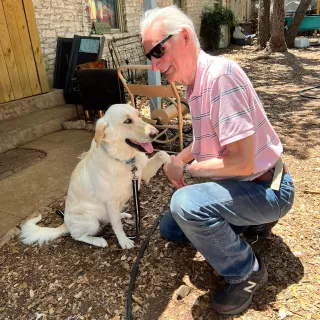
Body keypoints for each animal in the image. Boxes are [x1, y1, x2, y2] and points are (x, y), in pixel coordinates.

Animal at [19, 104, 170, 249]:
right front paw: (124, 242)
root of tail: (65, 223)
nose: (155, 133)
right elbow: (117, 226)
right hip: (91, 221)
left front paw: (171, 163)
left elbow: (161, 153)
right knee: (77, 236)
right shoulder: (111, 201)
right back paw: (98, 240)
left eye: (139, 115)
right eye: (127, 121)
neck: (124, 160)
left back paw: (122, 214)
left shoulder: (143, 174)